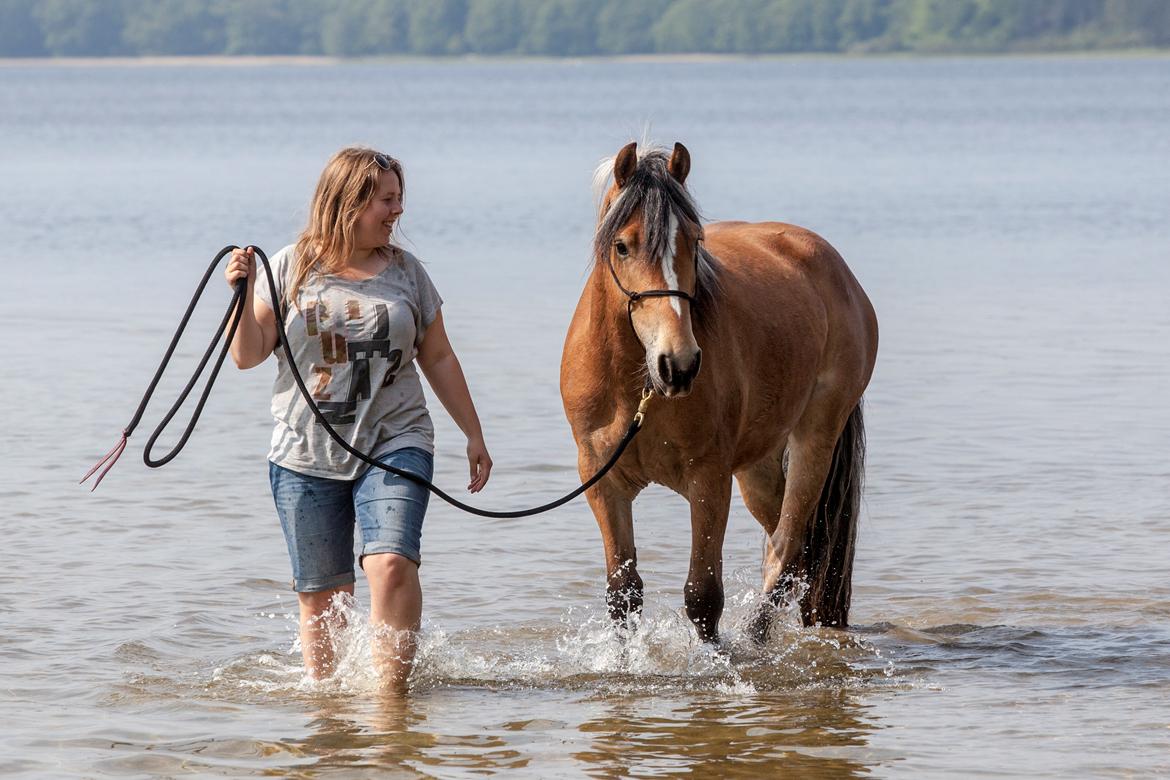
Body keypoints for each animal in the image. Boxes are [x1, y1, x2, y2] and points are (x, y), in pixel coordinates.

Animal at [559, 143, 879, 645]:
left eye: (695, 241)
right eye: (622, 245)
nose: (679, 363)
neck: (636, 388)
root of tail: (838, 270)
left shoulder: (708, 478)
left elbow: (703, 597)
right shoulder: (602, 480)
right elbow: (623, 594)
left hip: (815, 441)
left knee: (788, 549)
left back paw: (756, 639)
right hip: (759, 465)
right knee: (794, 551)